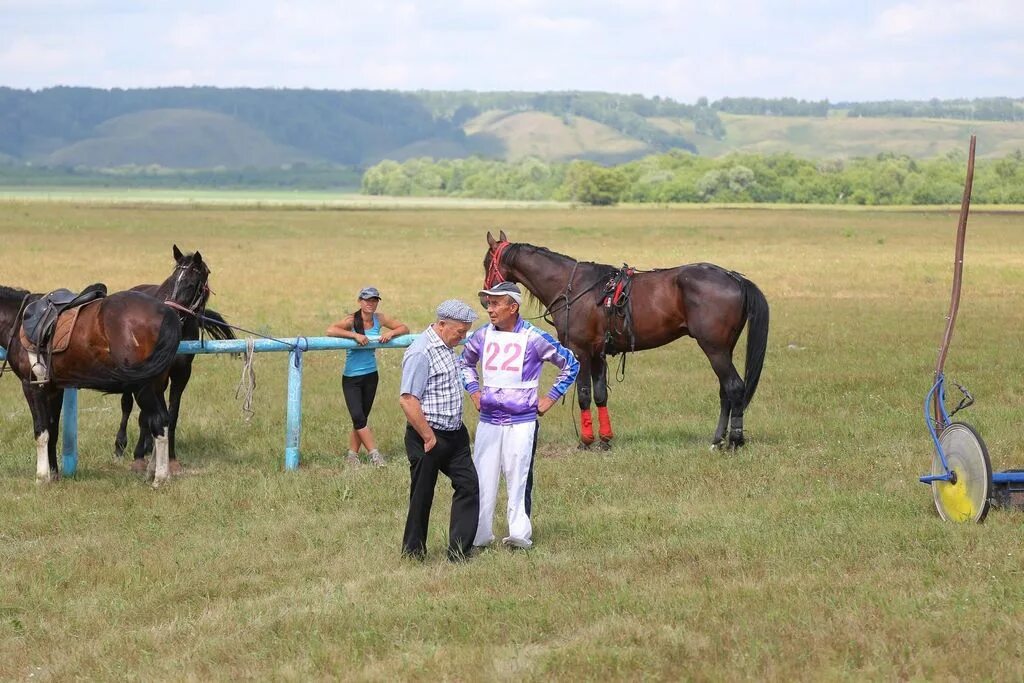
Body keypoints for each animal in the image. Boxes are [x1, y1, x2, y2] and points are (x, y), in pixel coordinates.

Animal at [1, 286, 181, 489]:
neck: (16, 322)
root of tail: (166, 312)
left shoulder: (32, 386)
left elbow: (41, 431)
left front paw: (41, 477)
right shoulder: (54, 389)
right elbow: (53, 431)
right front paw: (54, 475)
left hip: (145, 387)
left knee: (158, 421)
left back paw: (160, 478)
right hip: (157, 385)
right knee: (163, 420)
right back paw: (153, 472)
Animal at [114, 245, 235, 475]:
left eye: (192, 284)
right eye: (173, 279)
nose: (171, 311)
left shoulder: (182, 374)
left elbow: (171, 415)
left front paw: (171, 459)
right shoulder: (158, 375)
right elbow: (152, 414)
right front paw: (139, 457)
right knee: (127, 405)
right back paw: (121, 445)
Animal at [481, 232, 770, 450]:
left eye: (486, 263)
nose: (485, 299)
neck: (571, 287)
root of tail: (734, 278)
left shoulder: (580, 351)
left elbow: (584, 394)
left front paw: (586, 441)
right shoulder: (597, 353)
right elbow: (600, 395)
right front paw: (605, 440)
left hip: (715, 350)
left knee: (734, 387)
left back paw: (734, 441)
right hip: (724, 350)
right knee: (725, 391)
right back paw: (717, 439)